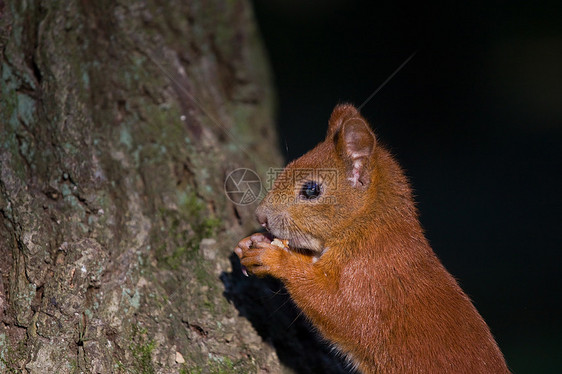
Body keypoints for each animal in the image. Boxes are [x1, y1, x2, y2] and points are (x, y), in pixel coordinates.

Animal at [233, 103, 508, 372]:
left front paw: (274, 258)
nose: (260, 216)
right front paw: (251, 241)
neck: (365, 226)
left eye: (311, 190)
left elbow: (336, 307)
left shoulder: (370, 280)